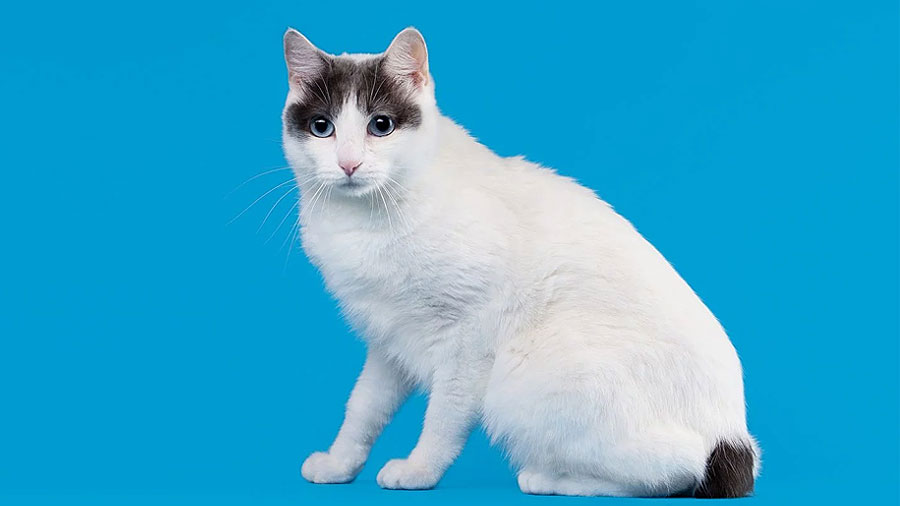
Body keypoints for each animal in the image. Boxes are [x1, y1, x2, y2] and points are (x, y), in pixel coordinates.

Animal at [282, 27, 760, 498]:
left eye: (380, 125)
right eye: (322, 127)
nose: (348, 163)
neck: (364, 221)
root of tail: (733, 436)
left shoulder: (467, 340)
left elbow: (443, 417)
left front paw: (419, 470)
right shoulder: (387, 341)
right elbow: (363, 407)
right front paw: (340, 463)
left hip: (521, 379)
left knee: (677, 467)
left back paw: (549, 479)